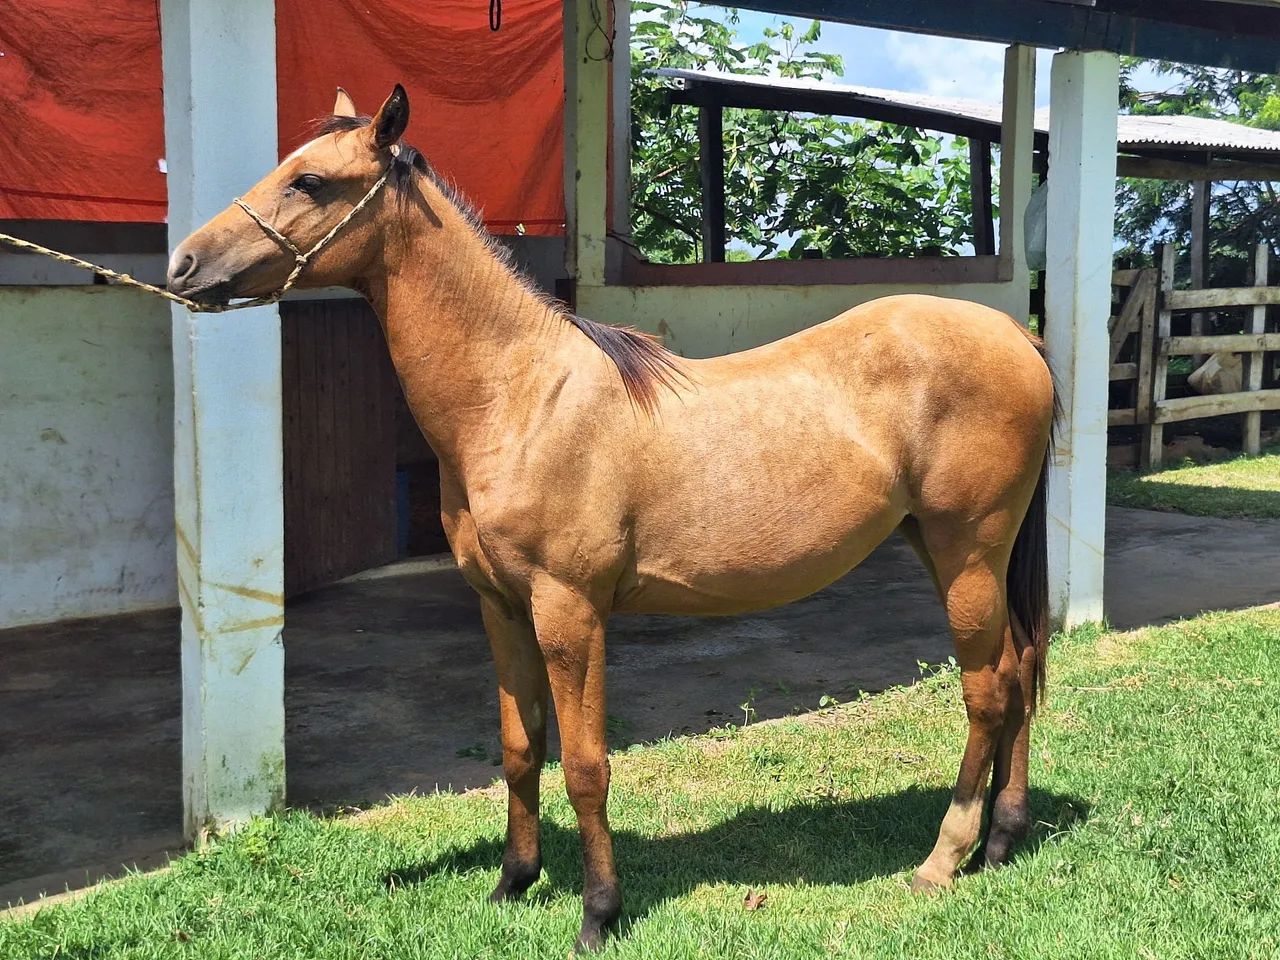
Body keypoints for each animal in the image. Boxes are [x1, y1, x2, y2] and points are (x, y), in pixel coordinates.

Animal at [168, 85, 1057, 952]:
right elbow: (520, 748)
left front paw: (599, 912)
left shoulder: (571, 614)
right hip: (946, 549)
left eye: (310, 182)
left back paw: (944, 857)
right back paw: (1003, 838)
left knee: (985, 691)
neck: (521, 397)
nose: (184, 264)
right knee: (1018, 670)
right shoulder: (501, 609)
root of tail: (1017, 334)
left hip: (967, 552)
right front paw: (514, 883)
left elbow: (585, 765)